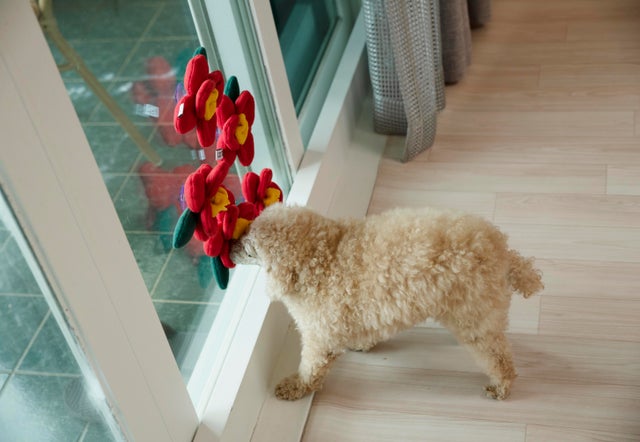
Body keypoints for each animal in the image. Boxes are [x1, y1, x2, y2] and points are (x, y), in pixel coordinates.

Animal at [230, 203, 543, 401]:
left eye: (250, 248)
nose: (231, 245)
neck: (324, 257)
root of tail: (502, 250)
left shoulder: (321, 336)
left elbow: (311, 368)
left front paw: (296, 387)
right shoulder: (364, 310)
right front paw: (360, 345)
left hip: (476, 317)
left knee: (499, 358)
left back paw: (501, 386)